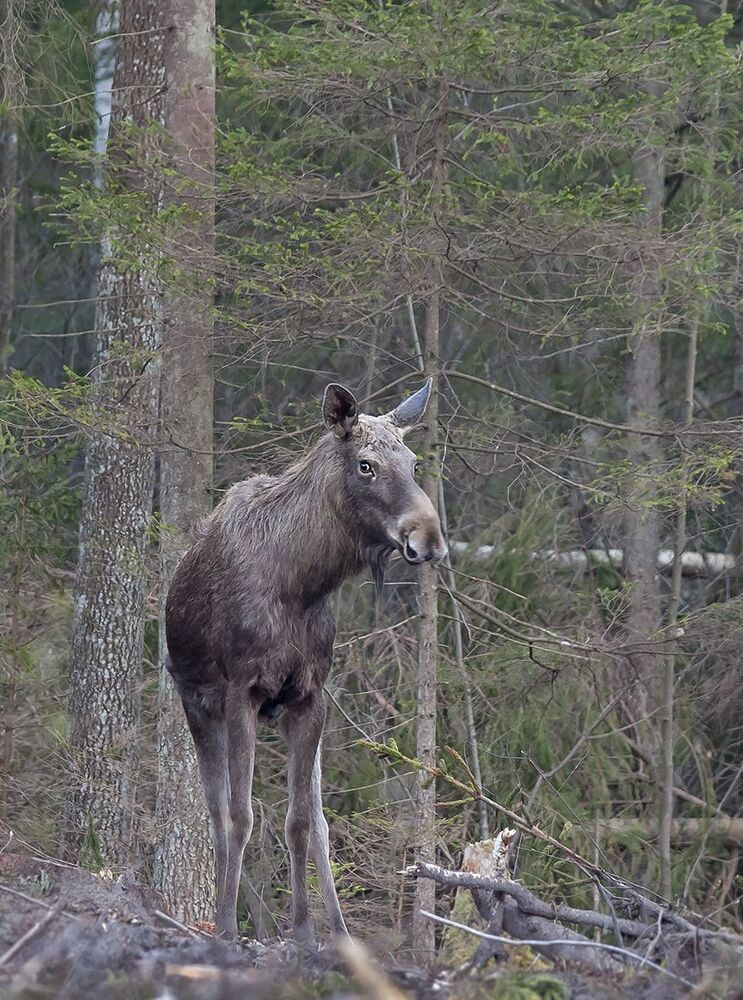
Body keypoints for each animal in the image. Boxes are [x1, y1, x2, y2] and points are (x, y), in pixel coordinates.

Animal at [165, 380, 447, 943]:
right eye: (366, 465)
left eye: (413, 462)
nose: (427, 537)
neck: (302, 584)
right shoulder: (241, 693)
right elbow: (239, 816)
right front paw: (226, 928)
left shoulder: (310, 694)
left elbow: (299, 820)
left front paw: (304, 931)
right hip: (197, 702)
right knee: (215, 814)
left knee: (317, 820)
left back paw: (339, 929)